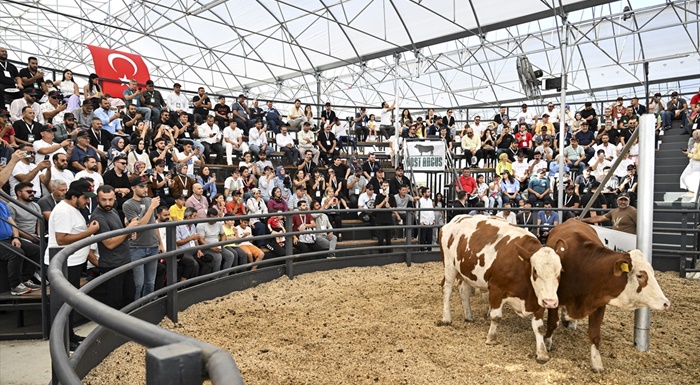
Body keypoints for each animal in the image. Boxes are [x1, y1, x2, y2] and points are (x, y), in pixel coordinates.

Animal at [440, 214, 568, 362]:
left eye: (560, 272)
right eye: (535, 271)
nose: (551, 303)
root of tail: (457, 218)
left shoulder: (539, 299)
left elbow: (539, 327)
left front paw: (542, 353)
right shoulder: (496, 289)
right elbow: (496, 316)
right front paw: (491, 339)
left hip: (467, 273)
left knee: (464, 292)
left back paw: (468, 316)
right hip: (450, 266)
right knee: (447, 291)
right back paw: (446, 318)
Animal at [544, 219, 668, 372]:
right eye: (640, 275)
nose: (666, 303)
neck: (583, 269)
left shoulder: (599, 303)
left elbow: (595, 334)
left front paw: (597, 363)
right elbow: (551, 323)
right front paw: (547, 343)